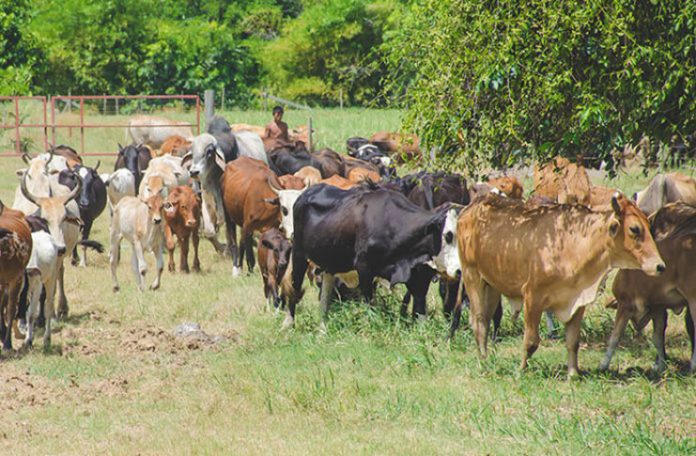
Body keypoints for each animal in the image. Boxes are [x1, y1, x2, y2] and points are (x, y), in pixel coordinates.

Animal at [284, 183, 452, 330]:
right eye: (448, 235)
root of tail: (306, 193)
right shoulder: (364, 268)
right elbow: (368, 302)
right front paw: (368, 327)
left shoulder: (414, 276)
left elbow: (418, 302)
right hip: (298, 253)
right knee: (295, 287)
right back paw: (288, 325)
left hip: (329, 262)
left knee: (325, 295)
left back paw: (322, 329)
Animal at [452, 191, 664, 374]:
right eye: (634, 229)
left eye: (649, 225)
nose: (660, 266)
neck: (574, 245)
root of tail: (471, 207)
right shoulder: (532, 296)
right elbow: (531, 341)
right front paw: (521, 370)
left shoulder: (578, 301)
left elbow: (573, 341)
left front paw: (573, 373)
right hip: (472, 276)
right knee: (479, 321)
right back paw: (483, 361)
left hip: (492, 285)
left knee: (487, 320)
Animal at [600, 204, 696, 374]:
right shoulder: (658, 309)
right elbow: (657, 338)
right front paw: (660, 365)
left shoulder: (625, 304)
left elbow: (614, 337)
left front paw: (604, 364)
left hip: (693, 300)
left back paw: (692, 365)